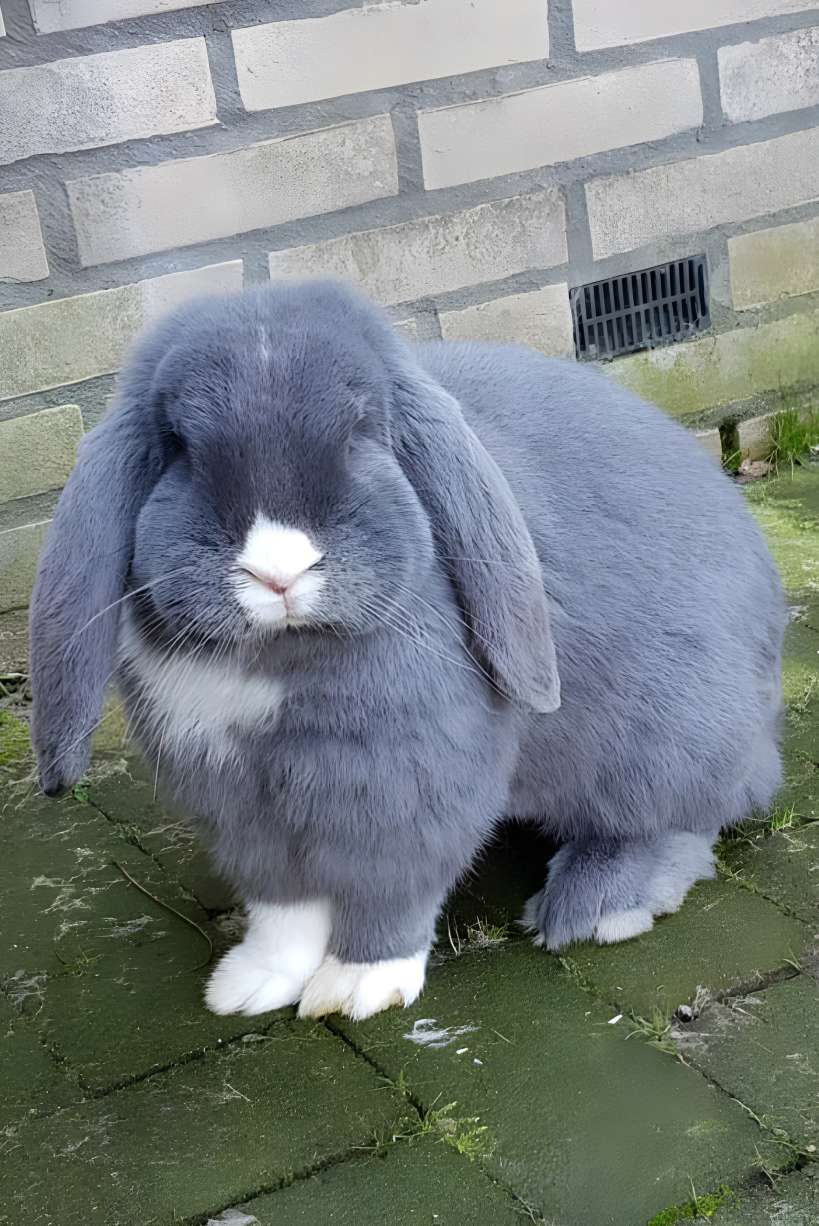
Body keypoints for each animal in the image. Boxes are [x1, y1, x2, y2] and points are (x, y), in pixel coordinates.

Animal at [28, 281, 784, 1020]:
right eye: (178, 445)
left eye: (363, 430)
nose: (278, 571)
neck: (280, 658)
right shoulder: (244, 807)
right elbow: (283, 904)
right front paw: (252, 984)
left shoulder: (403, 790)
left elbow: (389, 889)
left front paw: (356, 986)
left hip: (664, 746)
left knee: (686, 821)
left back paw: (598, 904)